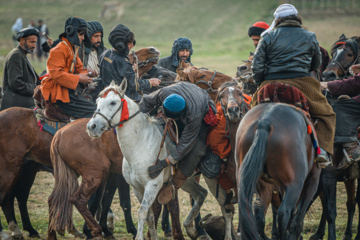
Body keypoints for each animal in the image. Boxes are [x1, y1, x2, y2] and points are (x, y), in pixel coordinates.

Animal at [0, 46, 160, 238]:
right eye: (131, 57)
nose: (153, 50)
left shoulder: (111, 175)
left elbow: (104, 201)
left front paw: (105, 228)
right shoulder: (116, 174)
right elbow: (117, 202)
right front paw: (119, 229)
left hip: (27, 168)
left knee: (25, 197)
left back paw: (32, 230)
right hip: (11, 168)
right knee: (8, 196)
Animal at [87, 80, 214, 240]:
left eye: (113, 102)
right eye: (98, 101)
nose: (92, 126)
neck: (140, 145)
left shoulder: (152, 186)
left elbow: (142, 212)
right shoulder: (137, 188)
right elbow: (150, 217)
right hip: (188, 181)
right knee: (201, 194)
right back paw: (190, 228)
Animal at [236, 101, 320, 240]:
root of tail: (264, 122)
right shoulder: (313, 178)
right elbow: (298, 219)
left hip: (255, 181)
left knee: (252, 211)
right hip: (294, 184)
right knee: (284, 212)